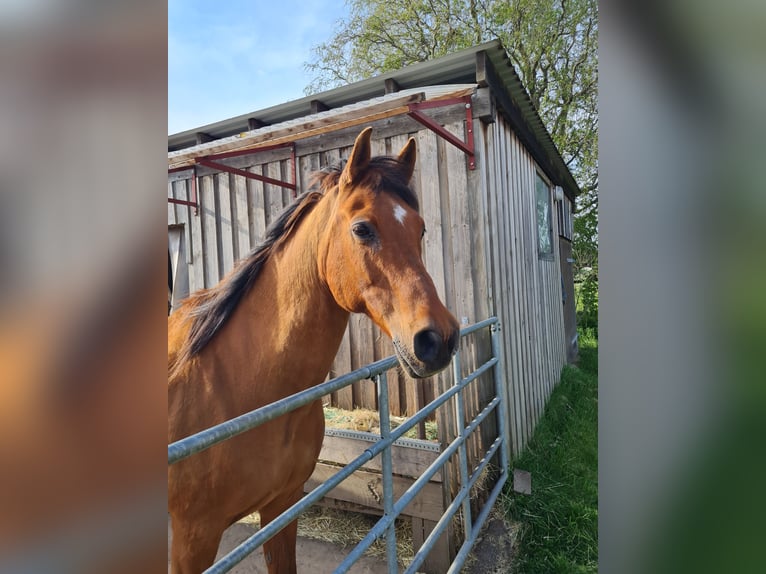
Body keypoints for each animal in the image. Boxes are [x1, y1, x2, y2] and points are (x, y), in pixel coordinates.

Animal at [168, 128, 460, 572]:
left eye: (421, 229)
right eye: (362, 229)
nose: (438, 339)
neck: (236, 383)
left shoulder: (282, 510)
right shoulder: (191, 541)